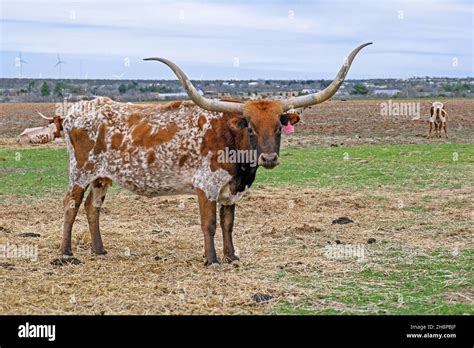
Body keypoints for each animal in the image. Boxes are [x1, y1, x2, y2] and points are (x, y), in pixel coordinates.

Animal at [58, 42, 370, 266]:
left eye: (279, 127)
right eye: (251, 127)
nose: (269, 159)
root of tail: (76, 110)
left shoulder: (231, 190)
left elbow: (227, 224)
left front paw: (232, 256)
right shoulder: (205, 186)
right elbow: (208, 224)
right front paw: (212, 260)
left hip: (101, 177)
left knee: (93, 208)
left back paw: (99, 250)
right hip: (80, 172)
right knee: (71, 206)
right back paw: (66, 253)